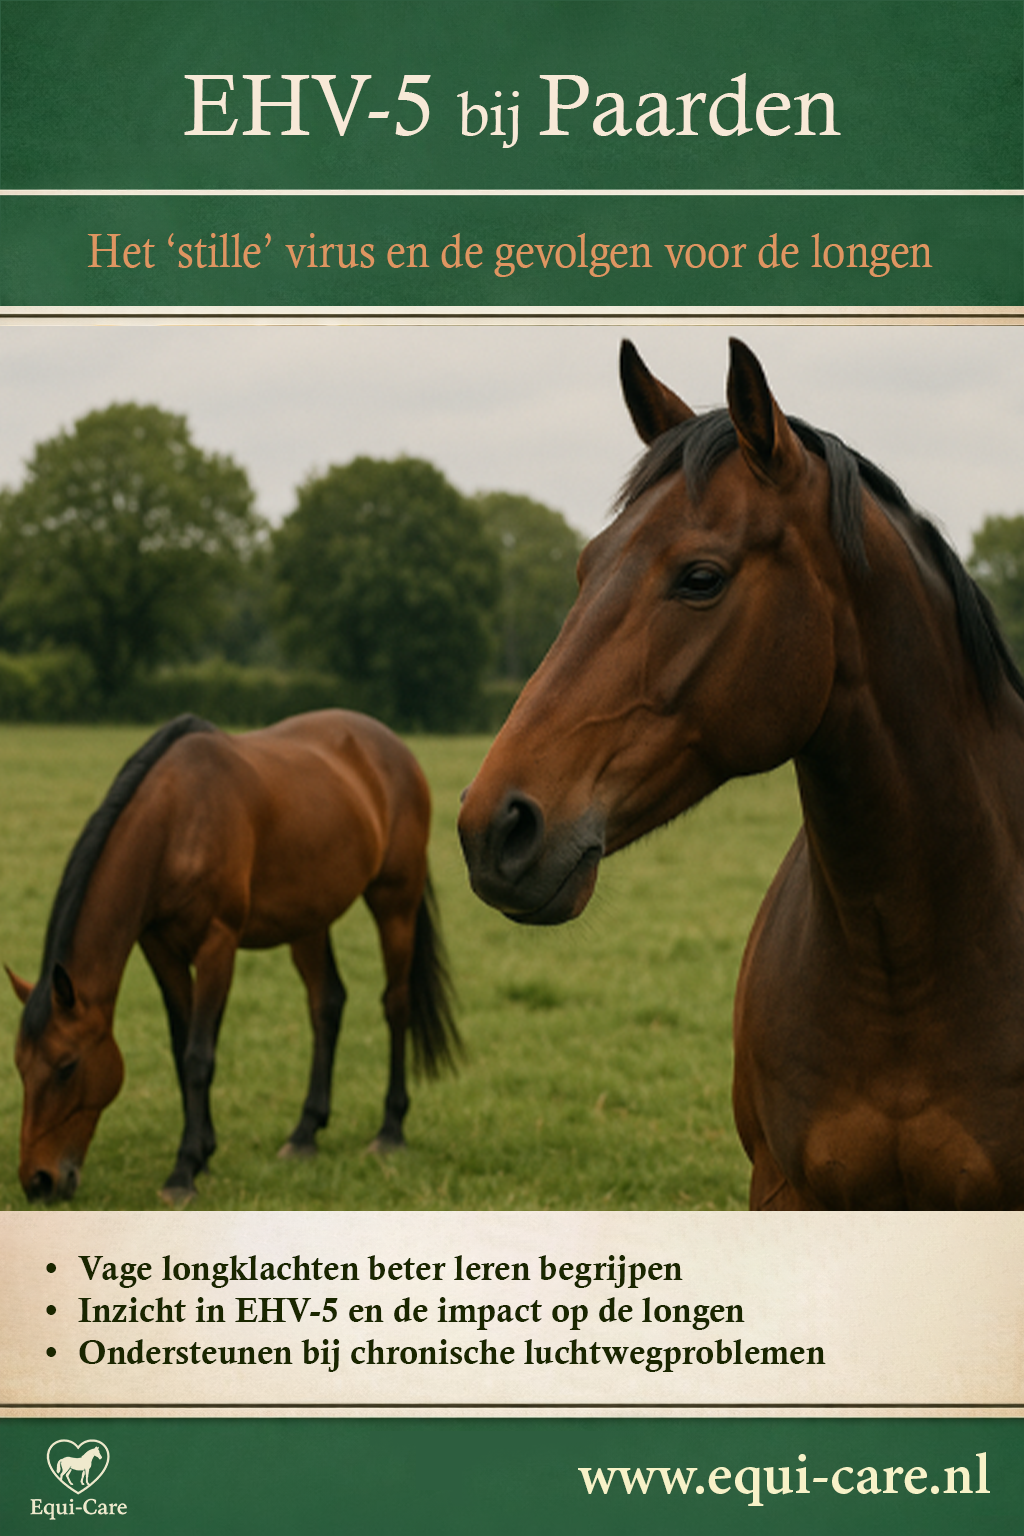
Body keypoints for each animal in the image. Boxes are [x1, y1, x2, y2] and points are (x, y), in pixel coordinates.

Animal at [13, 709, 458, 1206]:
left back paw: (390, 1130)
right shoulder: (161, 949)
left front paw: (184, 1171)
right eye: (20, 1066)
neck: (177, 821)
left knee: (396, 1004)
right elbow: (182, 1045)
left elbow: (198, 1056)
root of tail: (393, 747)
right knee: (327, 1004)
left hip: (395, 901)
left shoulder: (217, 945)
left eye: (67, 1066)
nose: (38, 1181)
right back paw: (305, 1133)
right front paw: (204, 1152)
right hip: (308, 919)